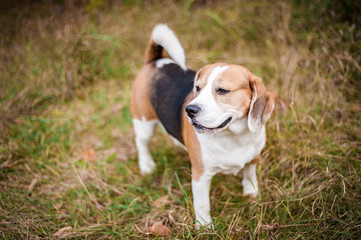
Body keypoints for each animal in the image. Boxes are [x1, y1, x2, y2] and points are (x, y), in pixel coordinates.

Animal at [129, 24, 272, 227]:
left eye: (222, 90)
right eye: (197, 88)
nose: (189, 110)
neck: (233, 137)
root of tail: (156, 61)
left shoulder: (254, 158)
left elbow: (249, 175)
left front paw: (251, 193)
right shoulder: (200, 175)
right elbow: (203, 204)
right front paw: (205, 226)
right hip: (144, 122)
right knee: (142, 143)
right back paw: (147, 165)